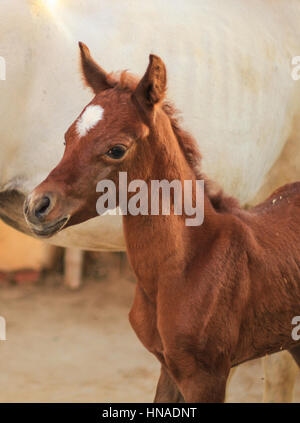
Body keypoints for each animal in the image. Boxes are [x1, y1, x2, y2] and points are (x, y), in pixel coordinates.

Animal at [0, 0, 300, 400]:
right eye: (67, 137)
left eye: (116, 148)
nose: (37, 205)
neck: (188, 262)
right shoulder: (174, 368)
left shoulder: (206, 373)